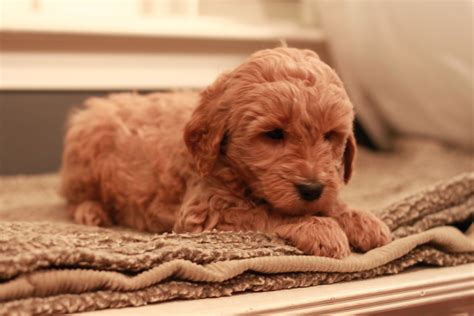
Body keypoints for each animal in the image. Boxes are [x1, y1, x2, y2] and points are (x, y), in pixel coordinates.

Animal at [60, 47, 392, 260]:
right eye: (274, 134)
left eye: (329, 136)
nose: (311, 189)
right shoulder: (205, 211)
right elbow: (270, 212)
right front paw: (321, 229)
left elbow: (331, 202)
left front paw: (360, 219)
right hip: (84, 158)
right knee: (74, 198)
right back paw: (92, 211)